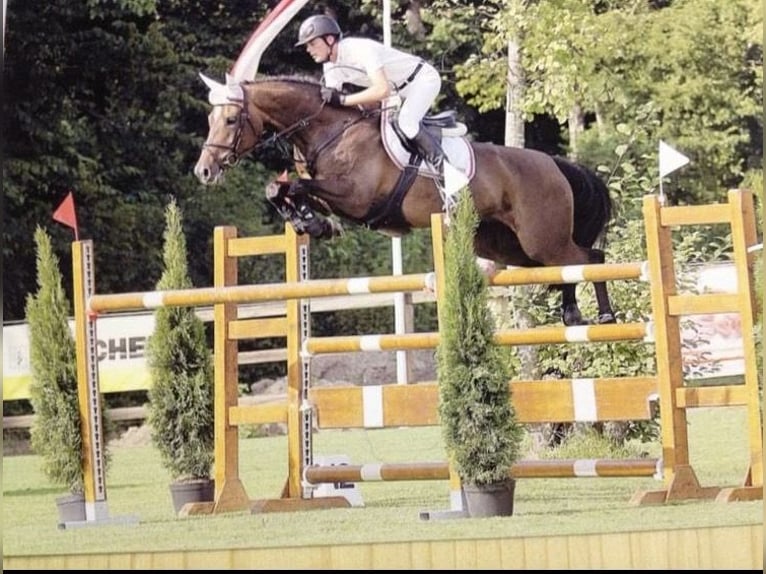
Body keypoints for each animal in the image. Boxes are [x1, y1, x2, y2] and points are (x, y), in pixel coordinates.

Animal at [194, 74, 616, 326]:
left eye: (230, 120)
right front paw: (311, 223)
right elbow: (280, 189)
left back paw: (602, 316)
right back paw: (573, 316)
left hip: (540, 237)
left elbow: (297, 187)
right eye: (210, 120)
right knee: (566, 268)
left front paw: (311, 222)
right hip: (510, 247)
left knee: (588, 259)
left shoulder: (356, 197)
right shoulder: (334, 194)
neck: (329, 131)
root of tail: (554, 163)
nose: (204, 171)